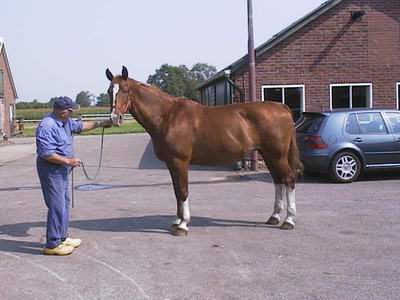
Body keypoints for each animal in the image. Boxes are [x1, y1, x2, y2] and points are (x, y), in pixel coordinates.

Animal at [104, 66, 302, 237]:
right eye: (109, 91)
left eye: (125, 90)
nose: (115, 118)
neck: (167, 116)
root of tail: (282, 108)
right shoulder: (171, 164)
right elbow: (177, 192)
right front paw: (177, 222)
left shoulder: (180, 162)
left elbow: (183, 191)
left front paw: (183, 225)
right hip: (268, 155)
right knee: (278, 181)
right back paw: (274, 217)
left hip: (278, 156)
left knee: (288, 179)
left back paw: (289, 221)